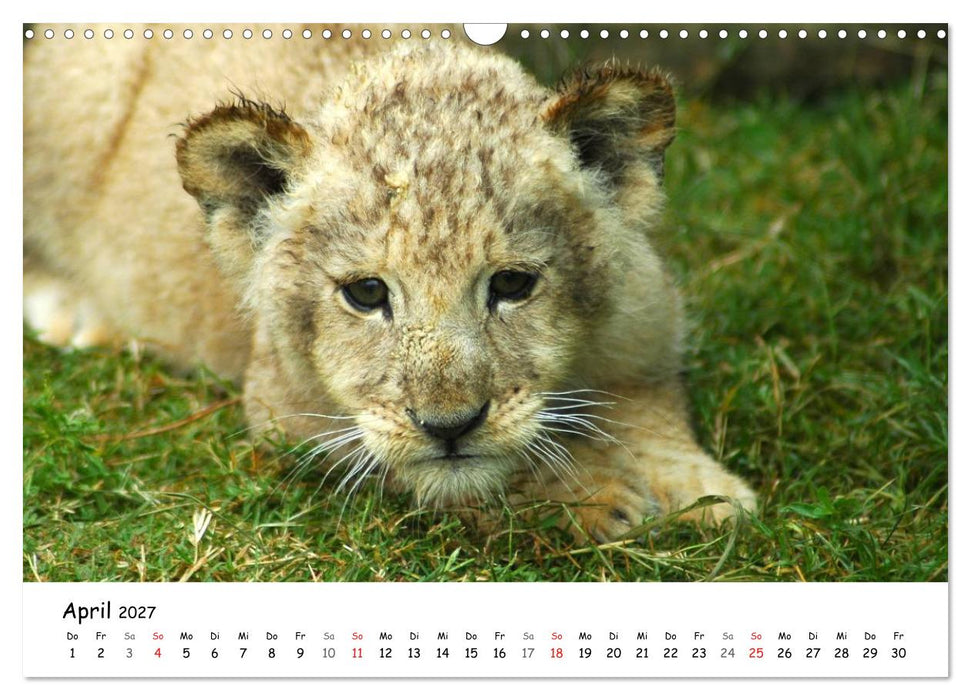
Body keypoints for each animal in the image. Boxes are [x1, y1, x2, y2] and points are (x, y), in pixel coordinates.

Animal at [24, 25, 756, 542]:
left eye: (512, 284)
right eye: (368, 294)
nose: (448, 426)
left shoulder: (648, 316)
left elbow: (652, 407)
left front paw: (707, 493)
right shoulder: (287, 413)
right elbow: (476, 477)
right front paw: (596, 496)